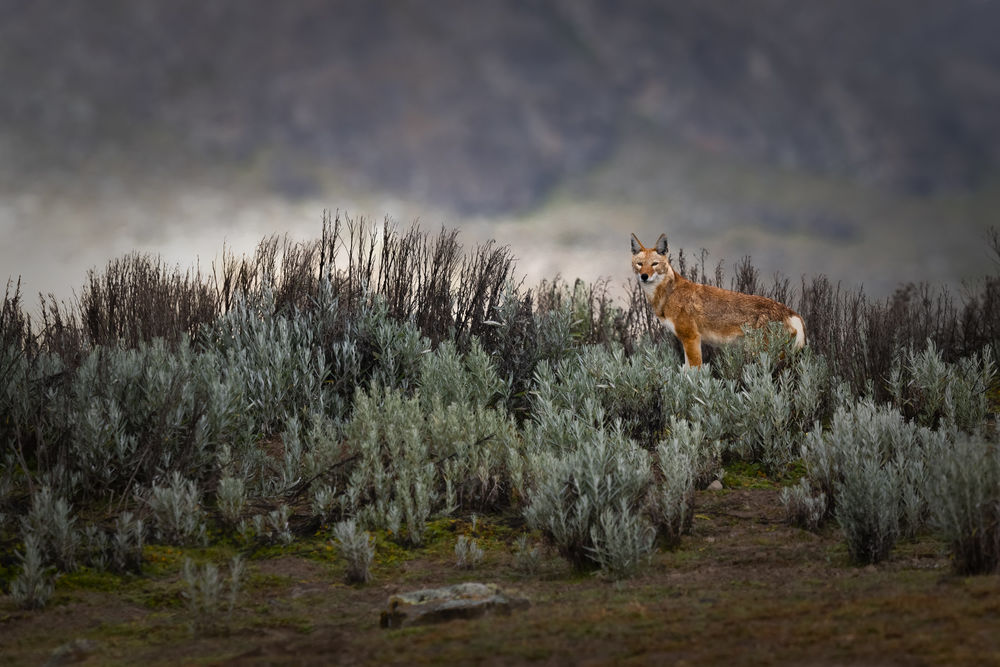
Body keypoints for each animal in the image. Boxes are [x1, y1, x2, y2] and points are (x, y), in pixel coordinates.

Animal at [631, 233, 806, 367]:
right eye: (639, 264)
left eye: (654, 264)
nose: (644, 276)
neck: (668, 294)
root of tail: (792, 313)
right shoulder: (688, 341)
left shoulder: (692, 338)